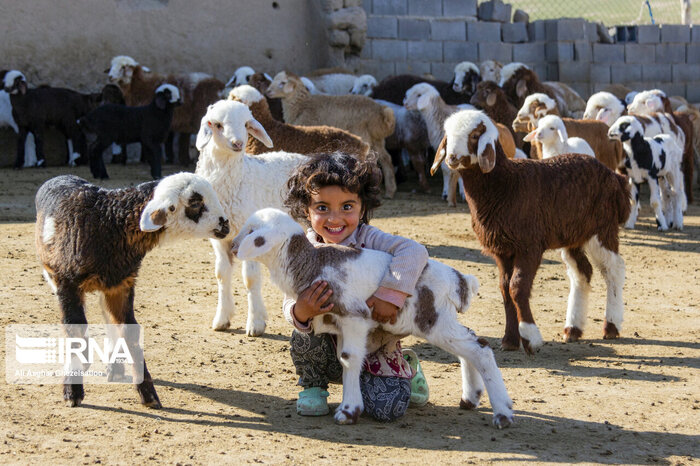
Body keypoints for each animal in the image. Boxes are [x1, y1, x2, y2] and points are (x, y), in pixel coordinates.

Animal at [35, 172, 230, 408]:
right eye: (195, 202)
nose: (226, 224)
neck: (107, 221)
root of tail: (61, 176)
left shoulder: (122, 285)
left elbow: (130, 331)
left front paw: (148, 393)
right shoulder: (67, 284)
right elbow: (75, 330)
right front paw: (72, 391)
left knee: (109, 319)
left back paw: (115, 368)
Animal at [194, 99, 308, 334]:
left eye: (246, 124)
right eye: (217, 125)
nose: (238, 143)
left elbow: (250, 279)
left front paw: (255, 323)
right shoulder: (219, 238)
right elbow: (221, 274)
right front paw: (222, 319)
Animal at [234, 208, 516, 430]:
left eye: (253, 233)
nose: (234, 247)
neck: (313, 264)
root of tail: (459, 279)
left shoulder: (355, 316)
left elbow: (349, 358)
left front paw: (348, 411)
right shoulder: (337, 322)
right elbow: (343, 357)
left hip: (433, 320)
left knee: (480, 349)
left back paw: (503, 414)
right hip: (441, 320)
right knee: (470, 345)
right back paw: (471, 398)